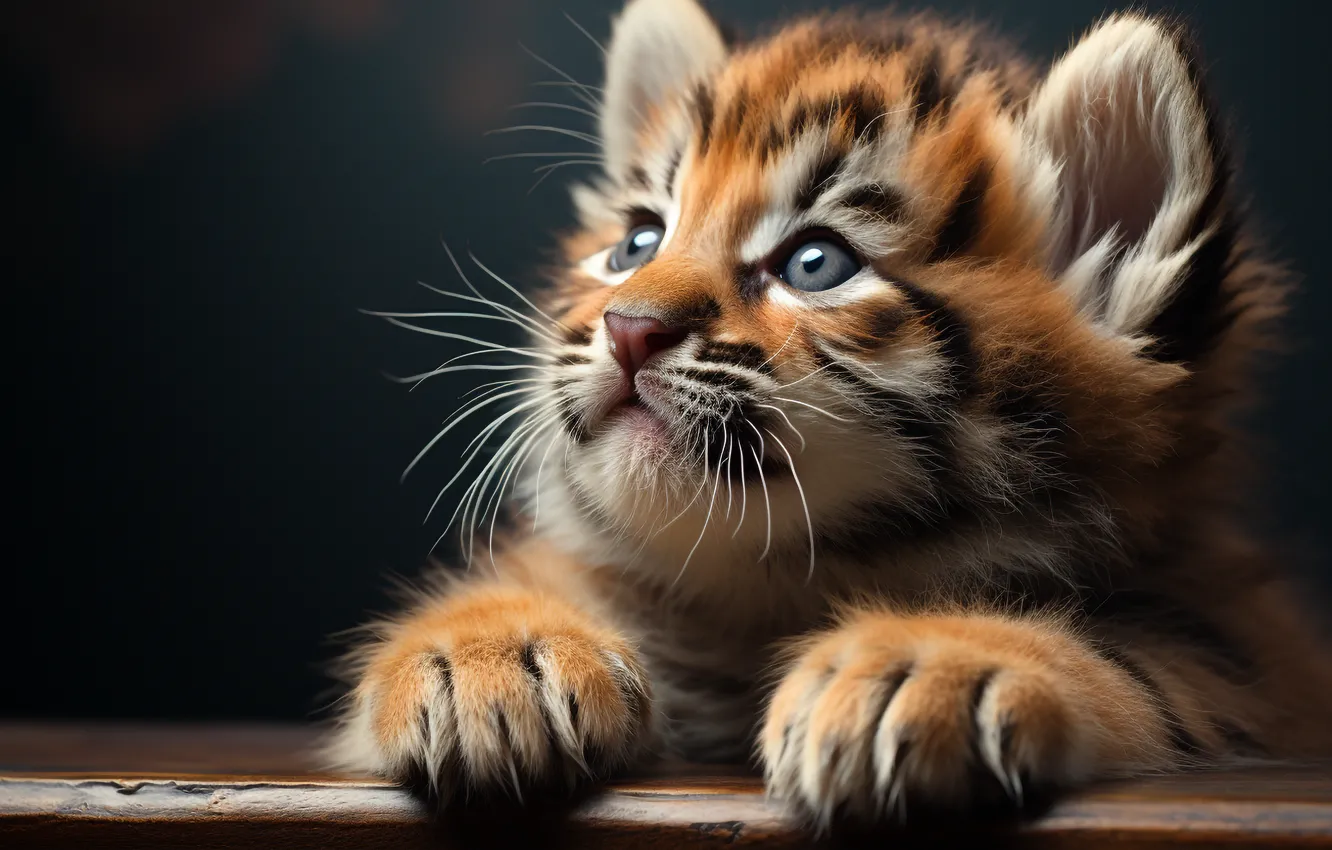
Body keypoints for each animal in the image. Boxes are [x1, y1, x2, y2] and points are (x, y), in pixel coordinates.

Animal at [328, 0, 1332, 827]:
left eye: (817, 264)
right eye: (638, 242)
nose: (627, 327)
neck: (766, 594)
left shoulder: (1248, 653)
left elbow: (1149, 662)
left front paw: (923, 665)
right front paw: (490, 653)